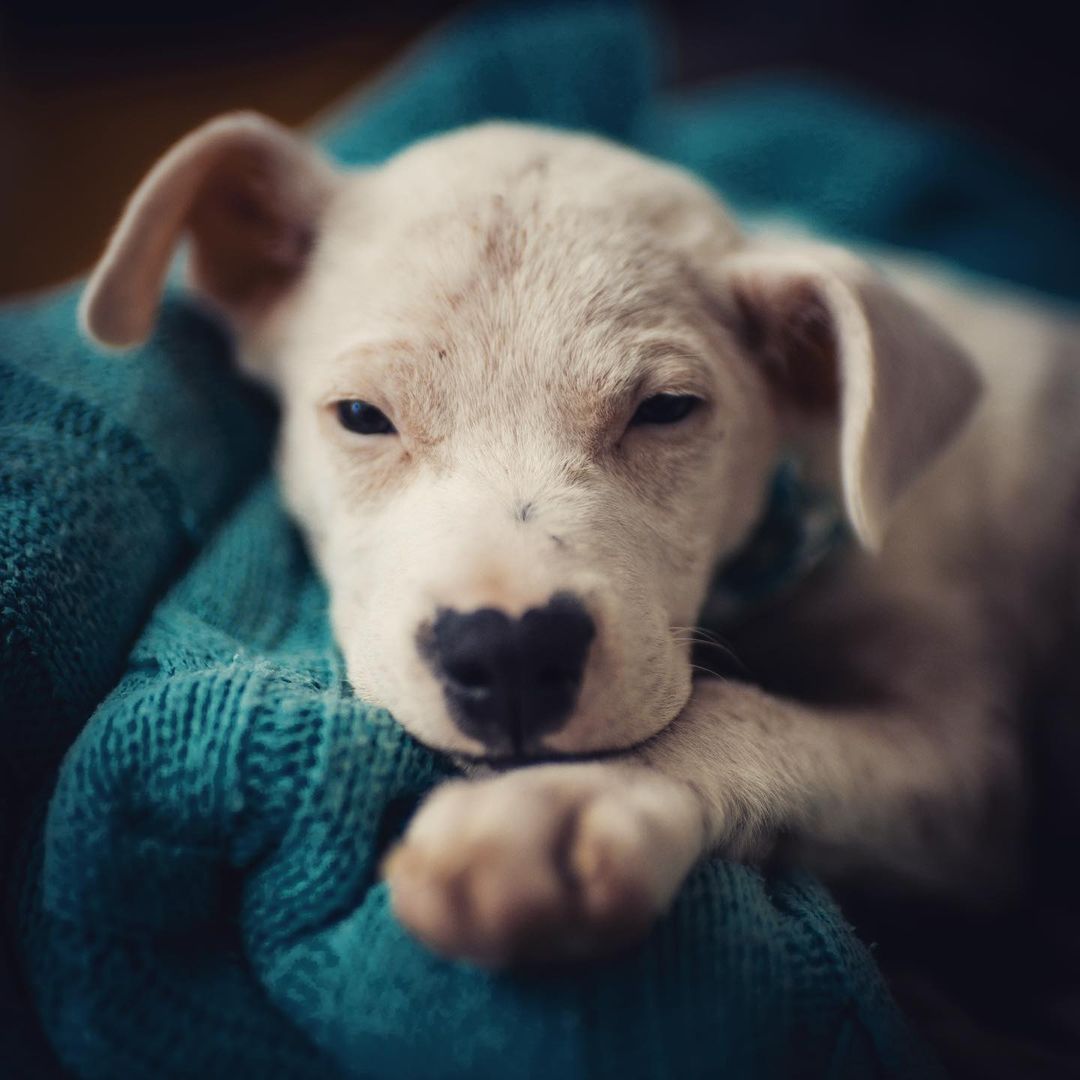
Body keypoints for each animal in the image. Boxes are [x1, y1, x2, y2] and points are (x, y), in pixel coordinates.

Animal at [78, 113, 1080, 967]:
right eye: (361, 416)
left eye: (667, 410)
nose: (511, 652)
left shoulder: (971, 773)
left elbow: (740, 713)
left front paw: (565, 804)